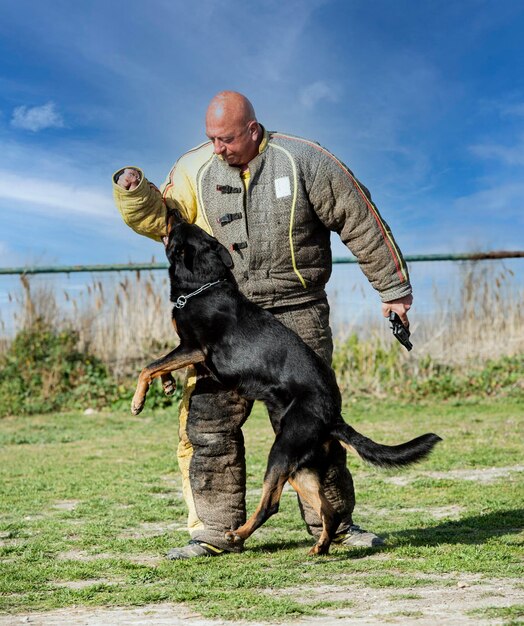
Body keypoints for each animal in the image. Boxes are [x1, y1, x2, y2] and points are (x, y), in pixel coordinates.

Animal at [132, 217, 442, 552]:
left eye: (177, 228)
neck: (203, 283)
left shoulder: (194, 348)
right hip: (299, 466)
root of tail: (332, 416)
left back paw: (238, 534)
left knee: (272, 504)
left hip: (281, 452)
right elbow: (160, 365)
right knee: (327, 509)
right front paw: (166, 385)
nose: (173, 215)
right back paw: (320, 546)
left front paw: (138, 401)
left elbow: (148, 366)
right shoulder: (188, 350)